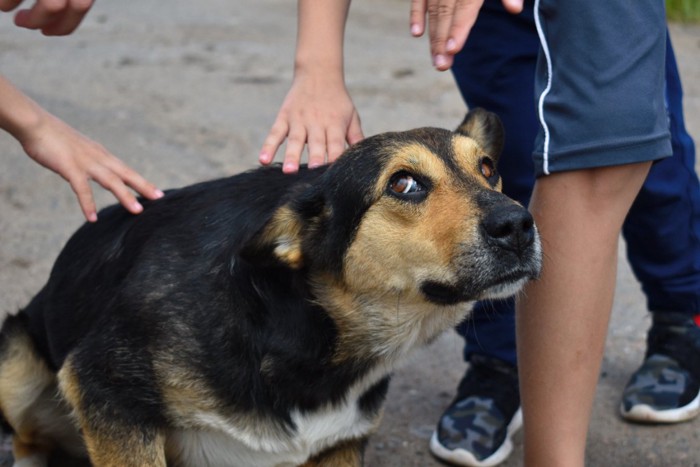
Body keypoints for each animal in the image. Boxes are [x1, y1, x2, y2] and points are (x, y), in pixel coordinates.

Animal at [0, 109, 540, 467]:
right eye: (404, 185)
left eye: (488, 168)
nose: (518, 225)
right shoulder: (104, 389)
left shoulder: (340, 443)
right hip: (15, 359)